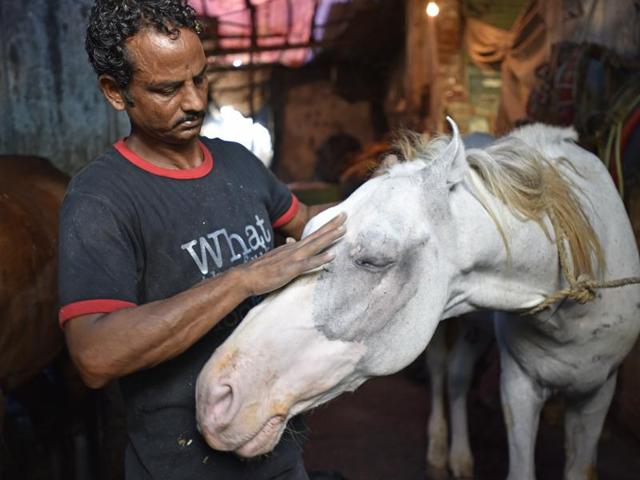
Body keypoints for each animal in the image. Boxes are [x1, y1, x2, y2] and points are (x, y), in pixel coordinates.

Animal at [195, 119, 640, 480]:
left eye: (375, 259)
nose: (213, 396)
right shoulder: (519, 384)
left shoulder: (598, 392)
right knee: (448, 374)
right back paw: (446, 452)